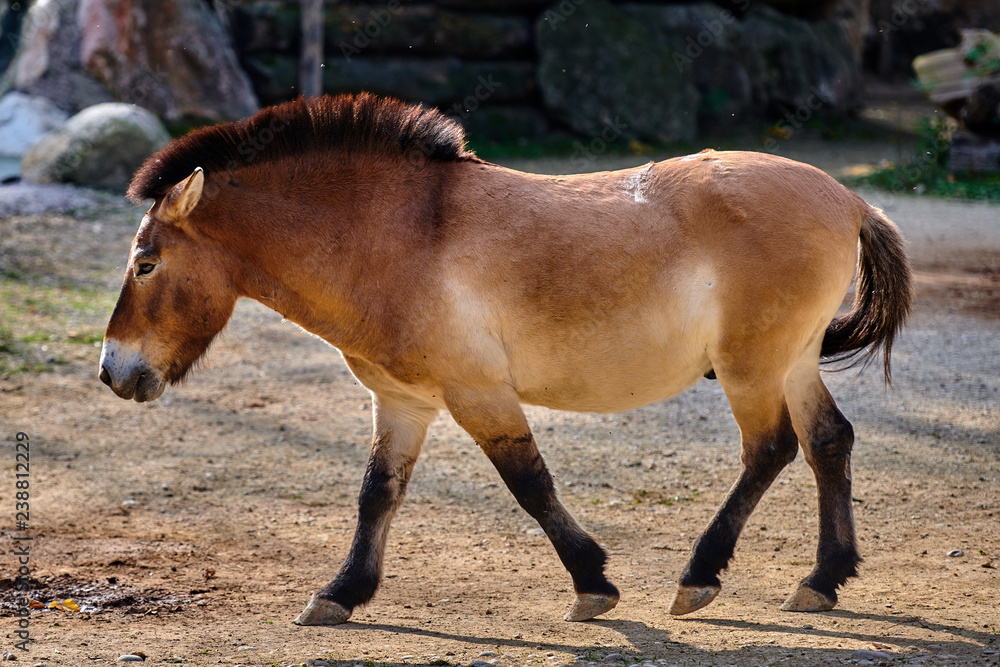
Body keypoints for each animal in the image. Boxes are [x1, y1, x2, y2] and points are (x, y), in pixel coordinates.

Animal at [99, 93, 913, 626]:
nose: (112, 371)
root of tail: (846, 198)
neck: (399, 236)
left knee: (771, 448)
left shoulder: (478, 393)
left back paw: (699, 576)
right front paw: (340, 593)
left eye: (145, 263)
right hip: (791, 362)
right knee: (829, 440)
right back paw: (823, 580)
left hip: (752, 367)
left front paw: (593, 584)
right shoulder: (404, 402)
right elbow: (377, 493)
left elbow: (529, 482)